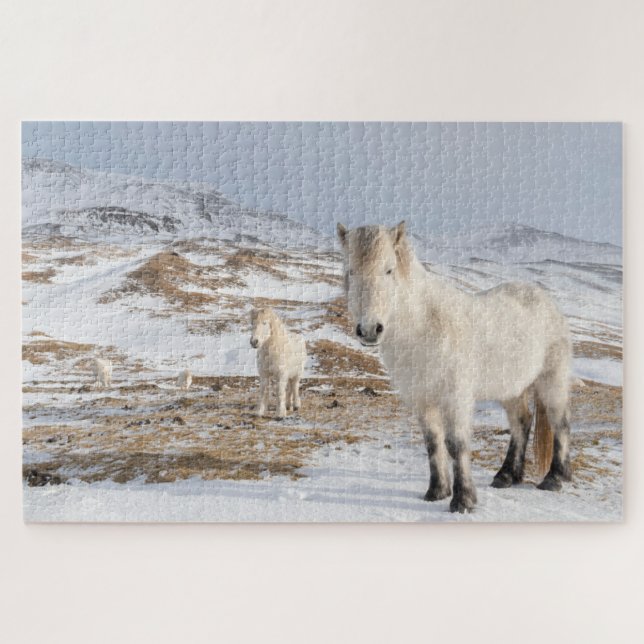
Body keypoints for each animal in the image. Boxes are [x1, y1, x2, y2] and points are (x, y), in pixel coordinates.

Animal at [337, 221, 572, 513]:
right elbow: (433, 442)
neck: (424, 326)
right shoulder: (422, 399)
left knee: (560, 423)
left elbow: (456, 445)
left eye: (389, 269)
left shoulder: (455, 398)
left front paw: (463, 500)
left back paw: (554, 478)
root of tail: (544, 300)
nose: (369, 330)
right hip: (511, 389)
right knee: (521, 422)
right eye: (351, 271)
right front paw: (437, 491)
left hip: (552, 381)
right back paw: (506, 476)